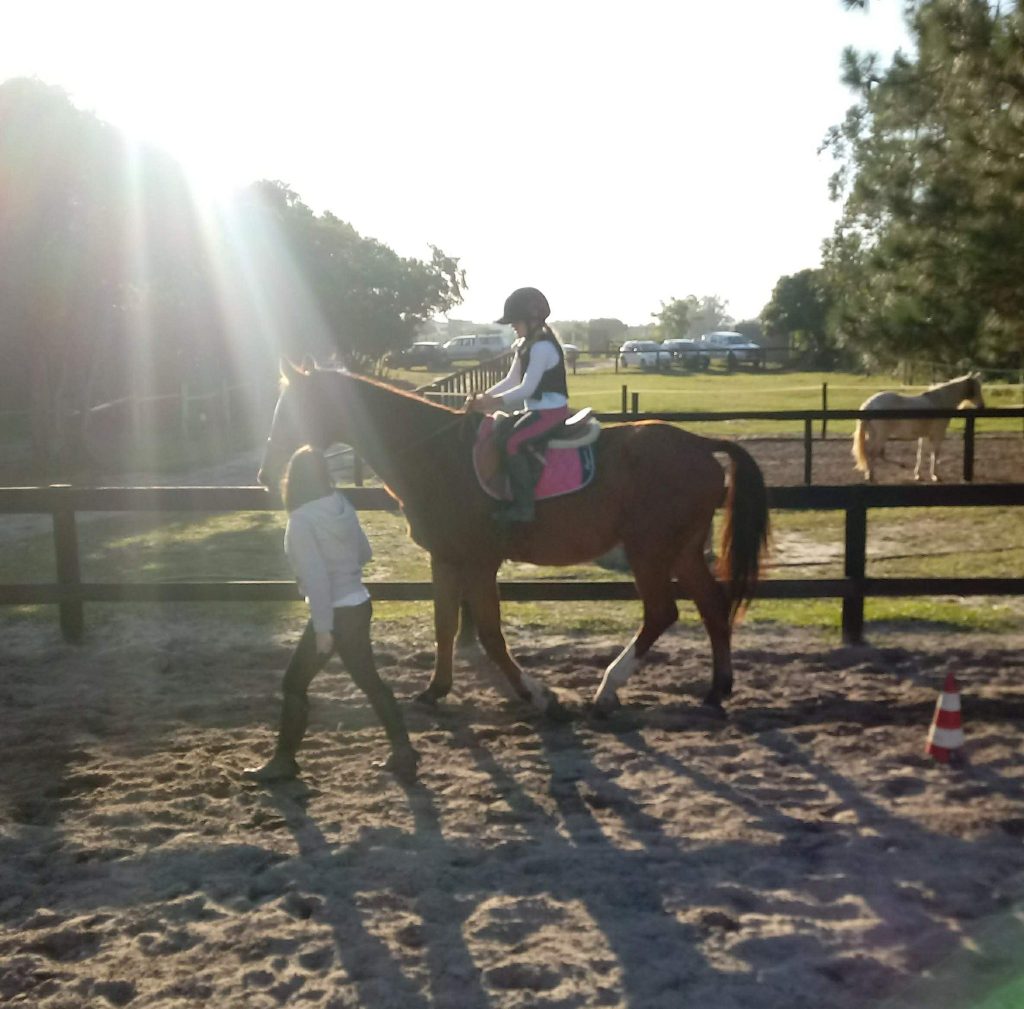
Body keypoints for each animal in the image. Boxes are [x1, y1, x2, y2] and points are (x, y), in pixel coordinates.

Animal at [258, 361, 770, 718]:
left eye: (294, 411)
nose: (265, 474)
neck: (437, 456)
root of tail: (700, 443)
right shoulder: (445, 559)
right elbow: (445, 625)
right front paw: (434, 691)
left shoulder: (481, 562)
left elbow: (489, 633)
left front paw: (537, 695)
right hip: (680, 551)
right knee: (712, 605)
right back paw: (716, 690)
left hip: (650, 552)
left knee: (663, 612)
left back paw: (607, 689)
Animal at [852, 373, 984, 483]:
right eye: (976, 389)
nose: (982, 407)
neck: (939, 402)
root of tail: (869, 404)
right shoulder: (937, 435)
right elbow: (935, 454)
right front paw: (935, 476)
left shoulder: (924, 436)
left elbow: (920, 455)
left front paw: (918, 475)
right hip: (881, 435)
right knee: (873, 452)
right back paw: (872, 476)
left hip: (874, 435)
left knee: (872, 452)